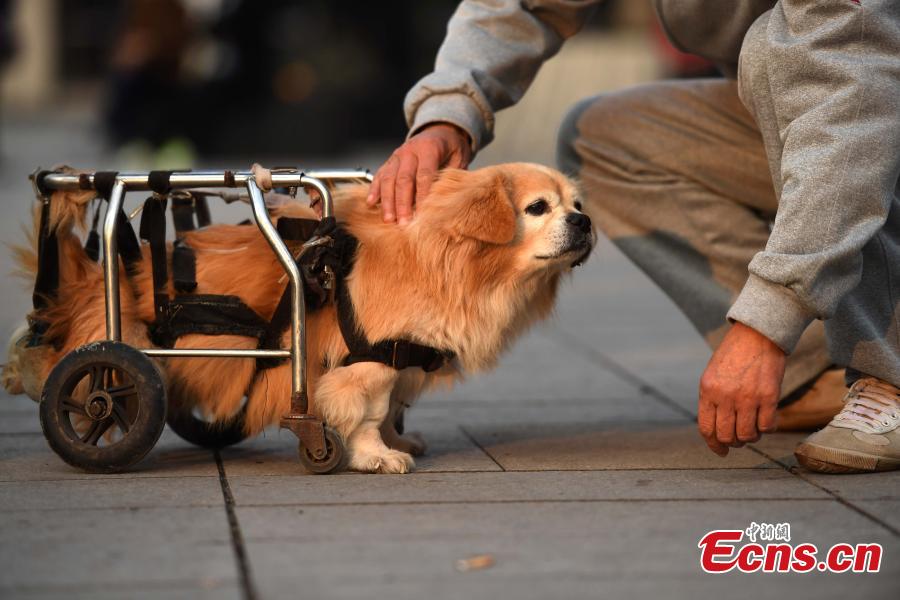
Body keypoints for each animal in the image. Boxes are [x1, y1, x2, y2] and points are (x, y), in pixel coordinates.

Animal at [8, 163, 596, 474]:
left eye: (577, 202)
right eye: (538, 208)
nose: (585, 221)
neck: (448, 256)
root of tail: (94, 281)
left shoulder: (402, 357)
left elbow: (392, 408)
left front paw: (398, 442)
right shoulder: (369, 361)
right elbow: (368, 412)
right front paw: (374, 456)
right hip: (115, 362)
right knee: (103, 391)